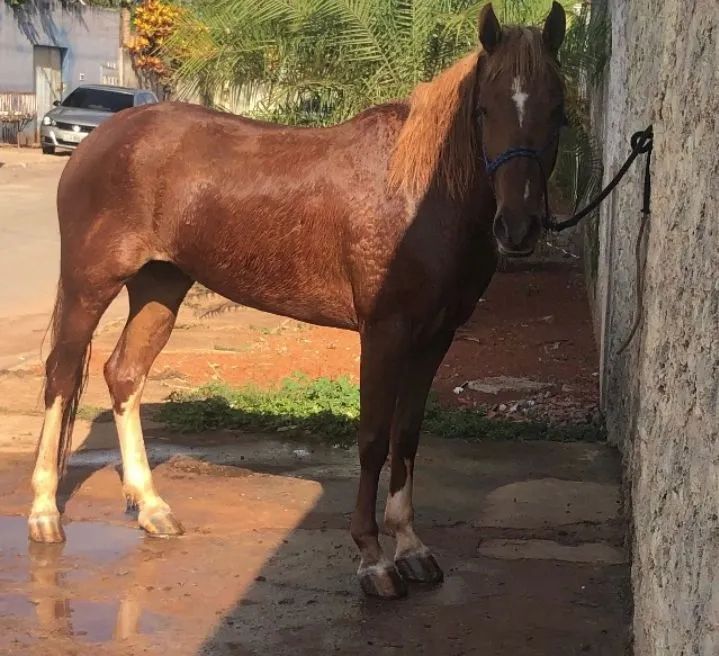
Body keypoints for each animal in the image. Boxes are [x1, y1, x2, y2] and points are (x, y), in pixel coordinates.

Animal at [28, 2, 567, 599]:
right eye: (484, 109)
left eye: (557, 108)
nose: (518, 228)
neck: (418, 193)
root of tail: (99, 140)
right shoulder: (384, 332)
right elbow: (373, 439)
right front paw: (373, 560)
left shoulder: (436, 338)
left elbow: (407, 436)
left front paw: (411, 548)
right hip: (89, 284)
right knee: (60, 377)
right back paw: (45, 514)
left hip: (160, 285)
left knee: (124, 374)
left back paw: (152, 508)